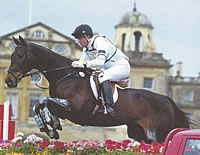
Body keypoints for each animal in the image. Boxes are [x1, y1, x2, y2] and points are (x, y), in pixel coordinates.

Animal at [3, 36, 190, 143]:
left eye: (20, 56)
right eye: (10, 55)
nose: (9, 81)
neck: (65, 76)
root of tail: (166, 99)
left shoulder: (73, 109)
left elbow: (43, 102)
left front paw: (51, 125)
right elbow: (40, 105)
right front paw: (50, 126)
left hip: (159, 133)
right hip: (140, 133)